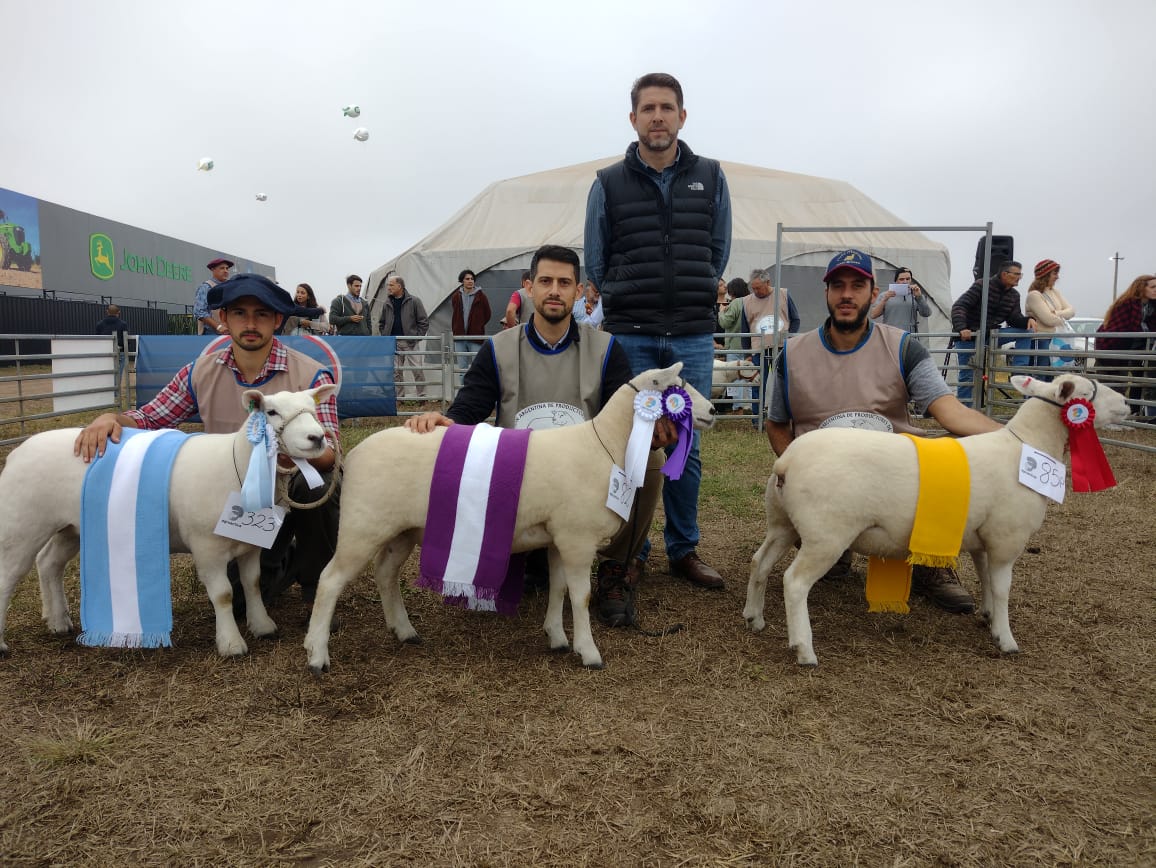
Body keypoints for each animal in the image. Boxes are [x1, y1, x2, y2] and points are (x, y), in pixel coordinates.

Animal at [0, 386, 335, 656]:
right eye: (271, 411)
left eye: (313, 407)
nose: (317, 438)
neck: (238, 464)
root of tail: (18, 451)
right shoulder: (207, 546)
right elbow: (224, 594)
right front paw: (230, 643)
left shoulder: (249, 545)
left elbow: (251, 584)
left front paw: (262, 625)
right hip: (22, 524)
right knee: (8, 576)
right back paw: (4, 644)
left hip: (70, 527)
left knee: (48, 563)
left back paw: (58, 621)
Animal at [305, 362, 712, 674]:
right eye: (677, 388)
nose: (710, 411)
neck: (606, 444)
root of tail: (353, 455)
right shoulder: (577, 538)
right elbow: (579, 596)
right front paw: (589, 652)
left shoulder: (559, 537)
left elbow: (559, 589)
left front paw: (557, 637)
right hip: (361, 525)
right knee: (329, 580)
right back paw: (317, 654)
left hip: (400, 528)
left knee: (385, 574)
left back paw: (403, 631)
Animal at [739, 374, 1128, 665]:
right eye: (1089, 390)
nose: (1127, 403)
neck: (1025, 447)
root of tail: (785, 462)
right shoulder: (1006, 538)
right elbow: (1002, 587)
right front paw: (1006, 638)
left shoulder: (983, 540)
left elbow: (986, 581)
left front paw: (987, 617)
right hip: (827, 534)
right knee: (794, 583)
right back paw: (804, 649)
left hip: (783, 523)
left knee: (760, 563)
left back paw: (754, 617)